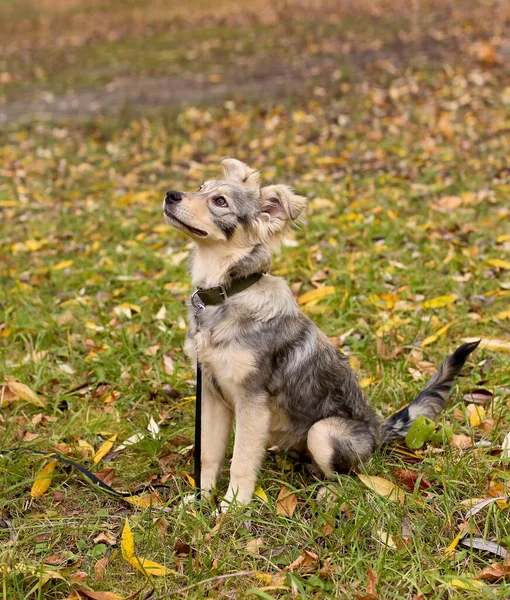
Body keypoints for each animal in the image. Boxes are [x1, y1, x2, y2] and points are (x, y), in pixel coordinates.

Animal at [162, 158, 478, 506]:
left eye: (220, 202)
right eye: (200, 188)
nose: (170, 194)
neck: (226, 294)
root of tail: (378, 432)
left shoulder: (252, 400)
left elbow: (241, 462)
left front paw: (232, 507)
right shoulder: (211, 392)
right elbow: (209, 454)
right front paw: (200, 501)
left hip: (323, 432)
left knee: (351, 477)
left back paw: (329, 492)